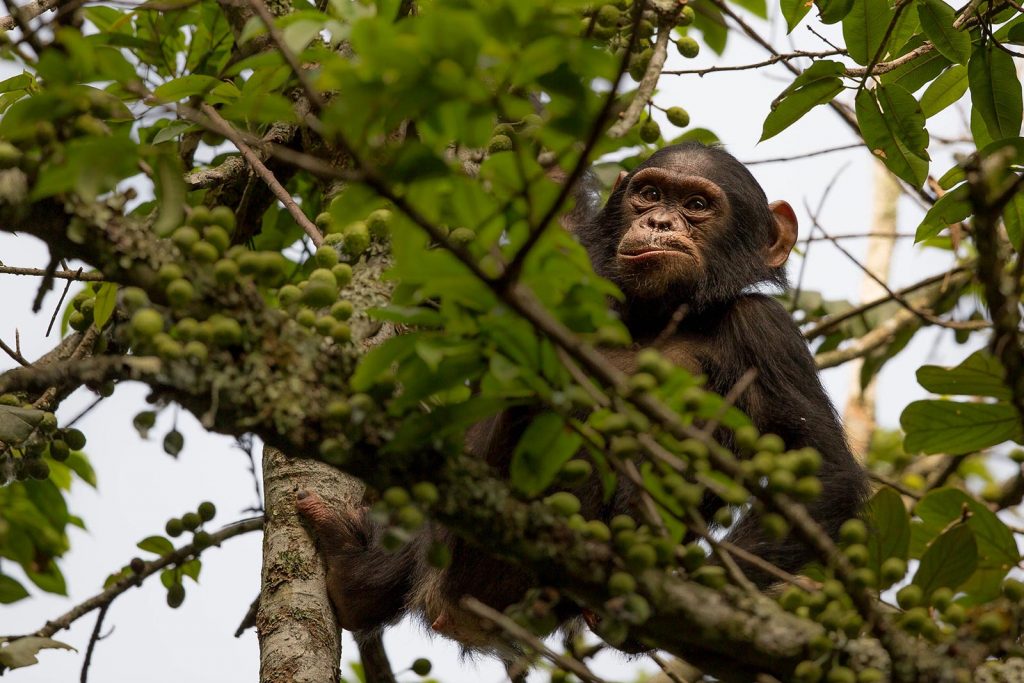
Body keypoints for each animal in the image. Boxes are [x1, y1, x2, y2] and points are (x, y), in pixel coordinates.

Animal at [292, 139, 868, 651]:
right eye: (649, 194)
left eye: (697, 206)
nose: (659, 223)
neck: (657, 315)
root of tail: (451, 611)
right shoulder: (570, 257)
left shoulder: (768, 333)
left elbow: (823, 472)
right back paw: (355, 576)